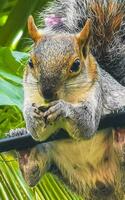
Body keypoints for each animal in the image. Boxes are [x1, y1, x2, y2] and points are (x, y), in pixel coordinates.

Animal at [8, 0, 125, 200]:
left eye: (76, 65)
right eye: (30, 63)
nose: (47, 94)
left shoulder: (97, 93)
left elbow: (87, 124)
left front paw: (63, 108)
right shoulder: (30, 94)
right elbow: (38, 133)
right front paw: (30, 115)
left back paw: (121, 135)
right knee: (34, 172)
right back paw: (25, 156)